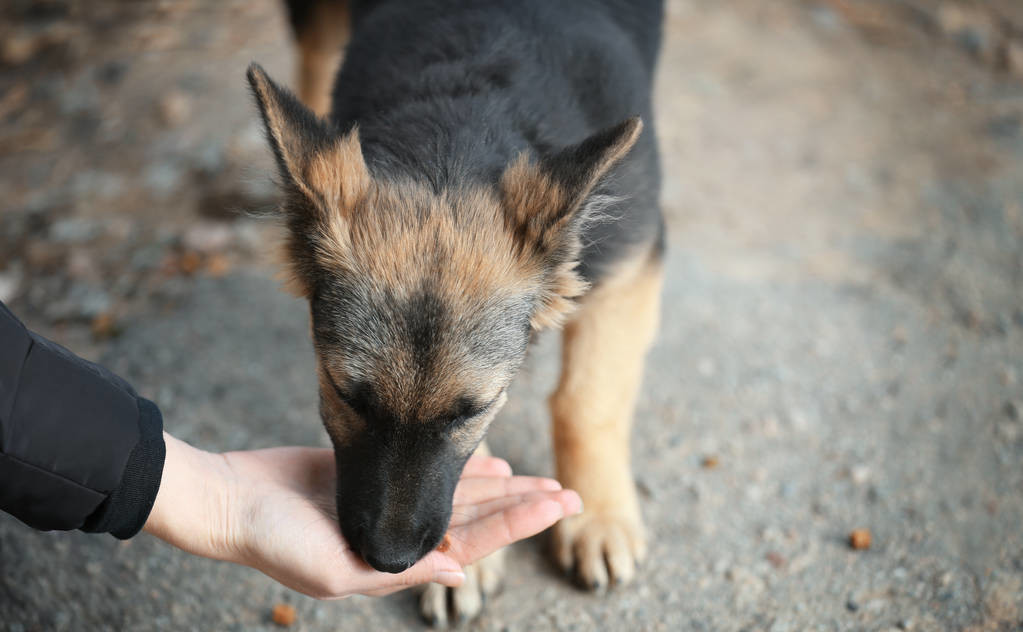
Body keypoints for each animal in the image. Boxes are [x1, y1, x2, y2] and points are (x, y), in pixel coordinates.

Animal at [247, 0, 662, 621]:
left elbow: (588, 400)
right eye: (346, 396)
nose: (389, 561)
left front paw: (598, 517)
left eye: (473, 411)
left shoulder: (630, 265)